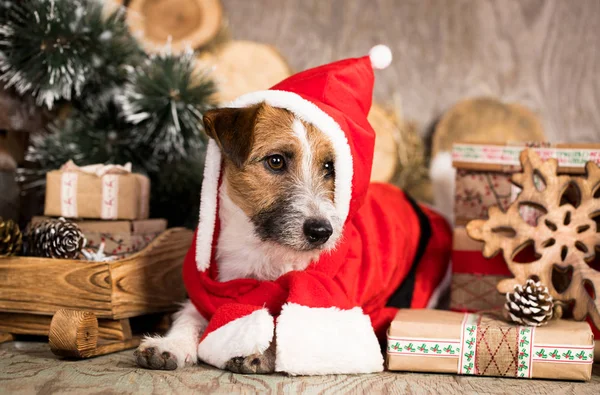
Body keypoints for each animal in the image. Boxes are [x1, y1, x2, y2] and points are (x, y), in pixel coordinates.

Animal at [132, 48, 450, 376]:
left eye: (330, 167)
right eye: (275, 161)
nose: (322, 232)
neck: (262, 251)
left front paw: (259, 351)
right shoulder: (207, 294)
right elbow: (188, 317)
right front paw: (170, 344)